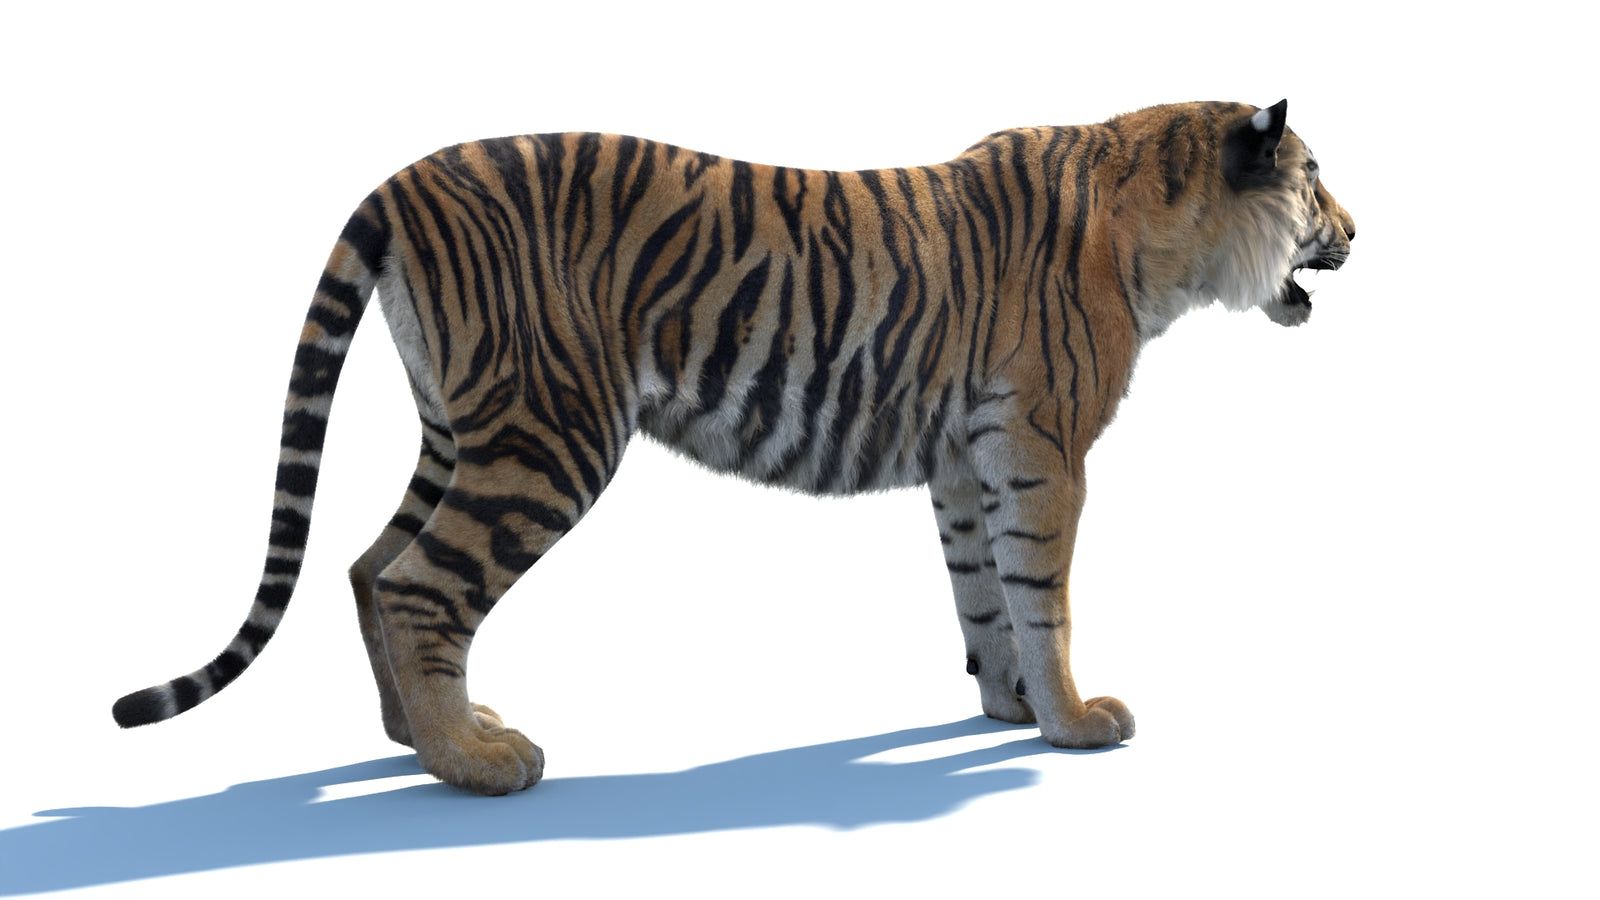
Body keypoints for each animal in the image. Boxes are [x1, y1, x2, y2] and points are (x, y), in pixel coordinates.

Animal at [113, 99, 1354, 796]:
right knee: (419, 582)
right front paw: (1074, 724)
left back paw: (423, 737)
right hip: (544, 435)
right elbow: (1041, 595)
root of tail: (399, 181)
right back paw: (473, 766)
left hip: (463, 428)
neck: (1168, 238)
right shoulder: (1043, 445)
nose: (1357, 227)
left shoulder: (967, 458)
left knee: (369, 565)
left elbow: (984, 594)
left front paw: (1007, 710)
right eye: (1314, 181)